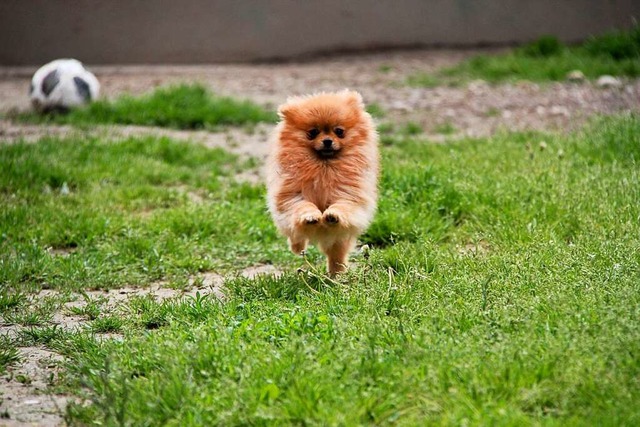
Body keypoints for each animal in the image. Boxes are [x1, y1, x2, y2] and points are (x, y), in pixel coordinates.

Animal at [266, 91, 380, 276]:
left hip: (338, 239)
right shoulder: (293, 196)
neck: (324, 166)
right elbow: (303, 207)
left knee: (336, 256)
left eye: (339, 131)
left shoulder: (347, 194)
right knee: (296, 236)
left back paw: (336, 275)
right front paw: (310, 217)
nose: (327, 141)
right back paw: (298, 248)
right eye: (313, 132)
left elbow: (341, 207)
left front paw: (332, 215)